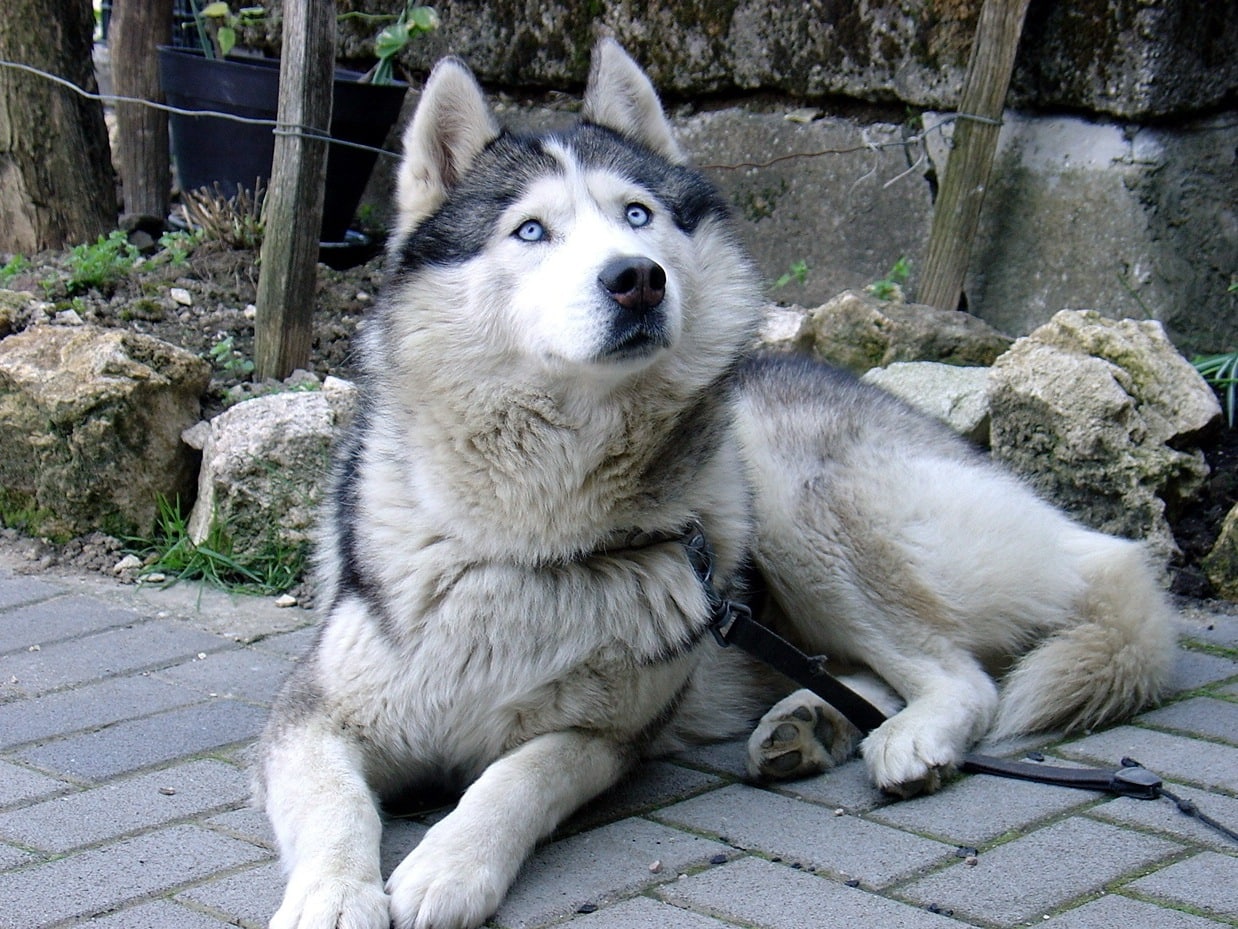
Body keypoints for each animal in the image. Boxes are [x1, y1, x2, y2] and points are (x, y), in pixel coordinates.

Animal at [256, 38, 1173, 929]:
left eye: (638, 215)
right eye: (530, 231)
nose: (636, 277)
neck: (539, 533)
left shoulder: (605, 736)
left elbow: (512, 781)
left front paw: (450, 864)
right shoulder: (309, 714)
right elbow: (337, 804)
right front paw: (332, 895)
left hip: (792, 500)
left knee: (961, 674)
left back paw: (907, 738)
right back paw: (808, 721)